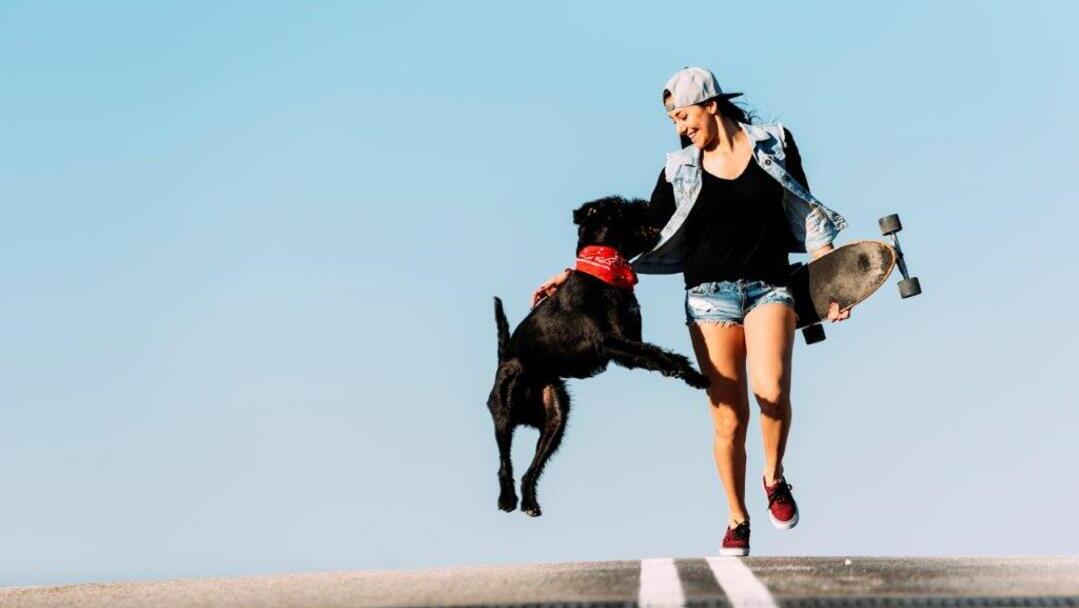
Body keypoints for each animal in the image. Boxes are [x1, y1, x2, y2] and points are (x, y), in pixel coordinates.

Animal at [487, 196, 707, 518]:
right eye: (622, 206)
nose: (646, 202)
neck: (605, 271)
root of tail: (505, 357)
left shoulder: (629, 343)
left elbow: (653, 354)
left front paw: (691, 375)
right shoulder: (609, 343)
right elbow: (657, 354)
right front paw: (689, 372)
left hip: (556, 418)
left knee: (532, 469)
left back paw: (529, 502)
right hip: (503, 412)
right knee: (505, 462)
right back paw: (506, 498)